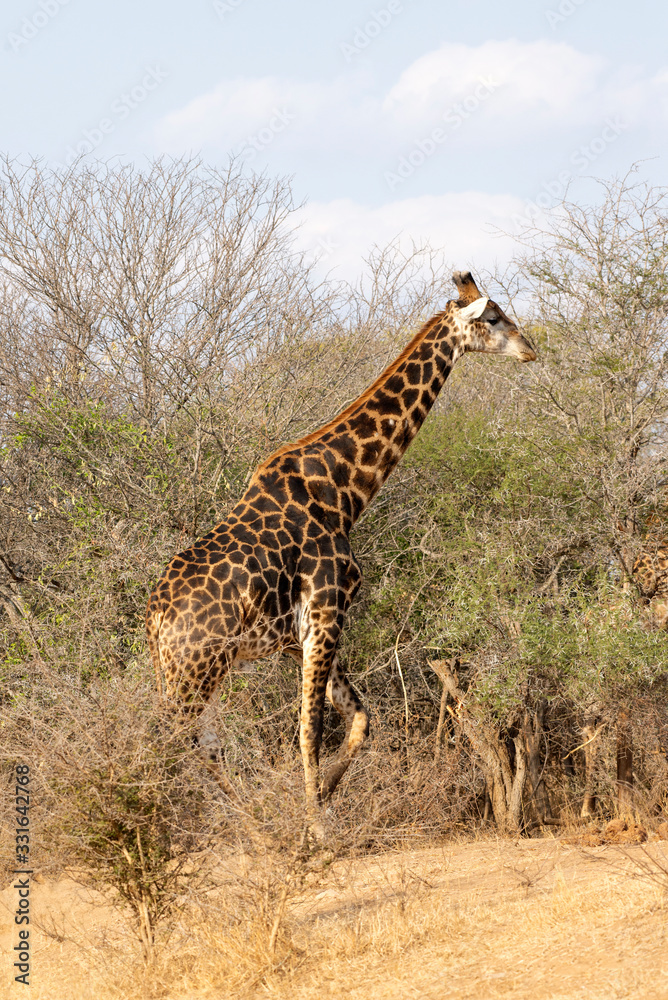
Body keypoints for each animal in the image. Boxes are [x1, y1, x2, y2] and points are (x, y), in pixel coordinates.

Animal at [145, 270, 536, 832]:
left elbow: (361, 717)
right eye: (494, 316)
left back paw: (243, 823)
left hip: (195, 672)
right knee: (168, 743)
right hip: (193, 670)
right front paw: (319, 827)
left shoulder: (299, 635)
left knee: (203, 745)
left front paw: (324, 797)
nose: (531, 349)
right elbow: (309, 728)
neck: (344, 489)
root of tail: (155, 617)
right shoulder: (328, 610)